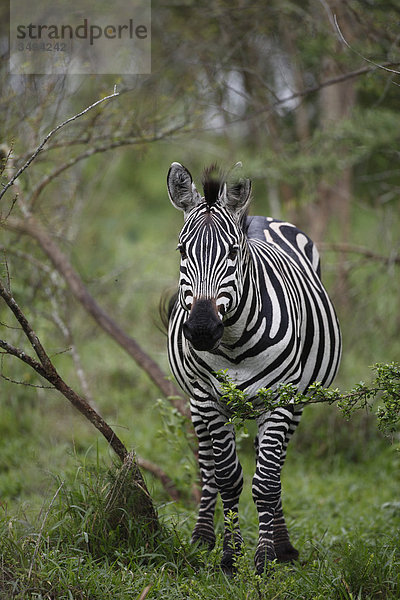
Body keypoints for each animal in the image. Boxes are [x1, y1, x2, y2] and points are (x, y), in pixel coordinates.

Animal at [166, 162, 340, 576]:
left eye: (233, 252)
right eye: (181, 250)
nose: (201, 330)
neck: (233, 342)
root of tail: (259, 217)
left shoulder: (280, 399)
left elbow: (266, 482)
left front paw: (264, 558)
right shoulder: (208, 399)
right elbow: (228, 478)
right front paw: (231, 557)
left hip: (293, 403)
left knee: (273, 467)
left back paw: (283, 544)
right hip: (196, 403)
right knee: (207, 466)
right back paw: (202, 537)